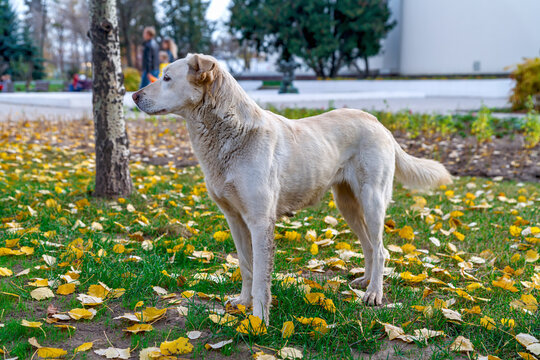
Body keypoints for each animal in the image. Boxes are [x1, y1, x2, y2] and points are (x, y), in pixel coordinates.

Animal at [134, 53, 452, 324]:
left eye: (166, 77)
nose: (134, 96)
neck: (231, 132)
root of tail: (378, 122)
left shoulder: (260, 222)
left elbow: (261, 278)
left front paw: (259, 321)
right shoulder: (235, 219)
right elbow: (246, 267)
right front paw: (243, 303)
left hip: (372, 201)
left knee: (382, 249)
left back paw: (374, 293)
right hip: (346, 204)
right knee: (370, 246)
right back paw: (365, 282)